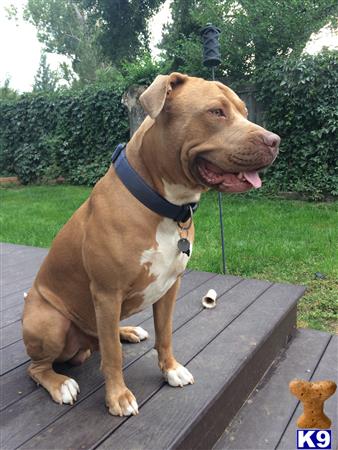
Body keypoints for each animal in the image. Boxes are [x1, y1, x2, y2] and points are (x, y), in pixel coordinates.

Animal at [21, 72, 280, 416]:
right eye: (216, 112)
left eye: (244, 112)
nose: (275, 140)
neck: (164, 204)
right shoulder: (107, 292)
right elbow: (112, 356)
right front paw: (117, 397)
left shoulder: (170, 286)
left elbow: (165, 333)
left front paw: (171, 369)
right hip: (50, 321)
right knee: (39, 367)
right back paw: (59, 383)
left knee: (103, 336)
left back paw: (127, 331)